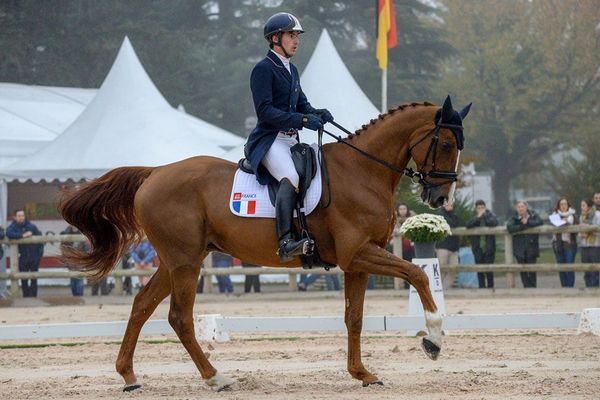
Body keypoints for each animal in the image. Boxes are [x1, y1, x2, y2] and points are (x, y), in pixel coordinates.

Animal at [62, 96, 474, 390]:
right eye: (446, 143)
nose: (441, 198)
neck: (363, 170)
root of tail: (155, 172)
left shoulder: (356, 262)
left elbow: (354, 318)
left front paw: (363, 373)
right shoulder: (359, 253)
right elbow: (418, 276)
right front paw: (433, 340)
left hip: (176, 260)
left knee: (142, 305)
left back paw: (129, 376)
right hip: (185, 262)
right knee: (178, 317)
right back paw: (216, 378)